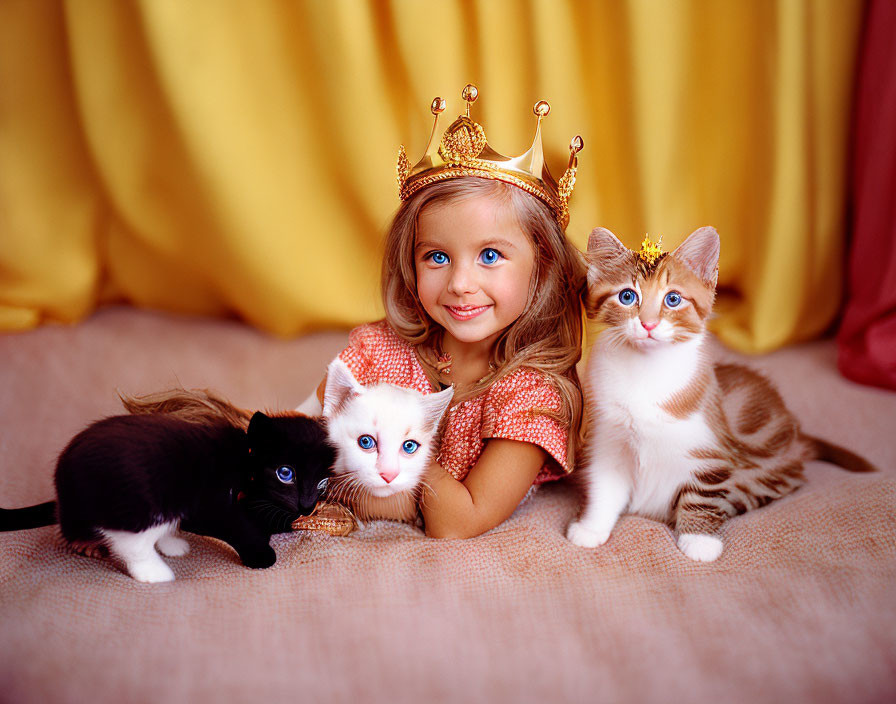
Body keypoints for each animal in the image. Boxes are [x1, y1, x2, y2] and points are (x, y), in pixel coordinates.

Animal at [0, 410, 336, 580]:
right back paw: (150, 570)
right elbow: (239, 528)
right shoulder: (211, 503)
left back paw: (170, 545)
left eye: (322, 483)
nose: (307, 505)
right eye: (285, 473)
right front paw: (260, 554)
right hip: (142, 500)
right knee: (129, 541)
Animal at [568, 228, 876, 564]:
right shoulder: (609, 438)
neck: (643, 373)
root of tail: (797, 437)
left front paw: (699, 539)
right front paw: (591, 527)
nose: (648, 323)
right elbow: (605, 486)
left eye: (672, 299)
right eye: (627, 296)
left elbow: (703, 495)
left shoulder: (710, 449)